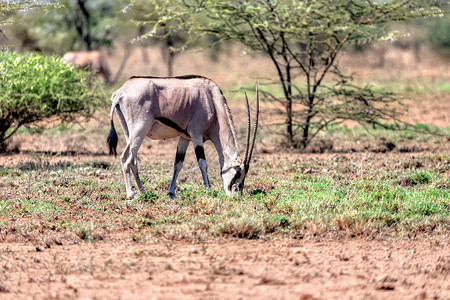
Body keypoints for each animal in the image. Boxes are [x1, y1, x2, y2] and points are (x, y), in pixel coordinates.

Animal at [106, 74, 260, 199]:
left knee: (133, 160)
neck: (212, 101)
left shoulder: (184, 138)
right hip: (139, 131)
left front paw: (171, 192)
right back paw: (131, 194)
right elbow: (202, 163)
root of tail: (120, 92)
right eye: (238, 172)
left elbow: (178, 164)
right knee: (125, 158)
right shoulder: (196, 134)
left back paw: (143, 191)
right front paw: (208, 189)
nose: (235, 194)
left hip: (129, 133)